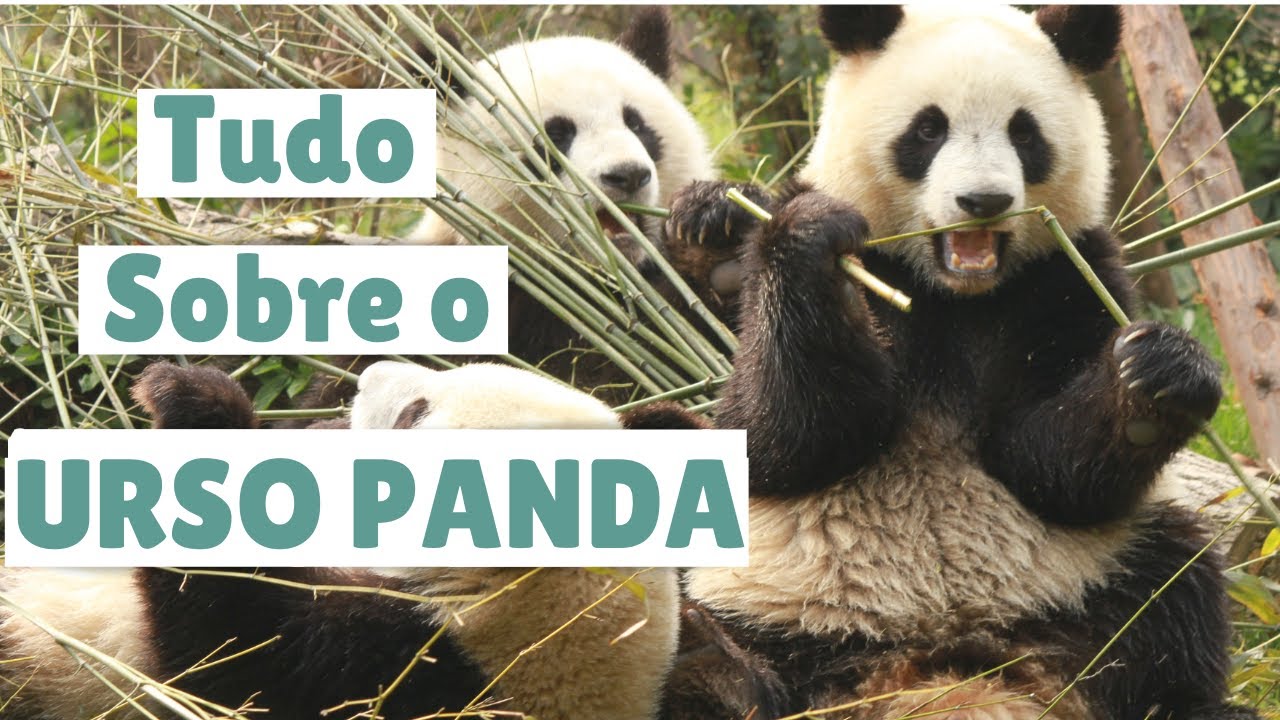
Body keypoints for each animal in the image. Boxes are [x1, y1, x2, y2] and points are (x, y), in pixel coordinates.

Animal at [663, 5, 1256, 719]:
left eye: (1025, 132)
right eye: (928, 129)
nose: (983, 201)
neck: (952, 294)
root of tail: (935, 663)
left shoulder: (1067, 278)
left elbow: (1051, 465)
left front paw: (1159, 376)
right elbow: (781, 435)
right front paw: (775, 232)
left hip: (1092, 575)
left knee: (1173, 590)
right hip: (769, 594)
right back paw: (713, 666)